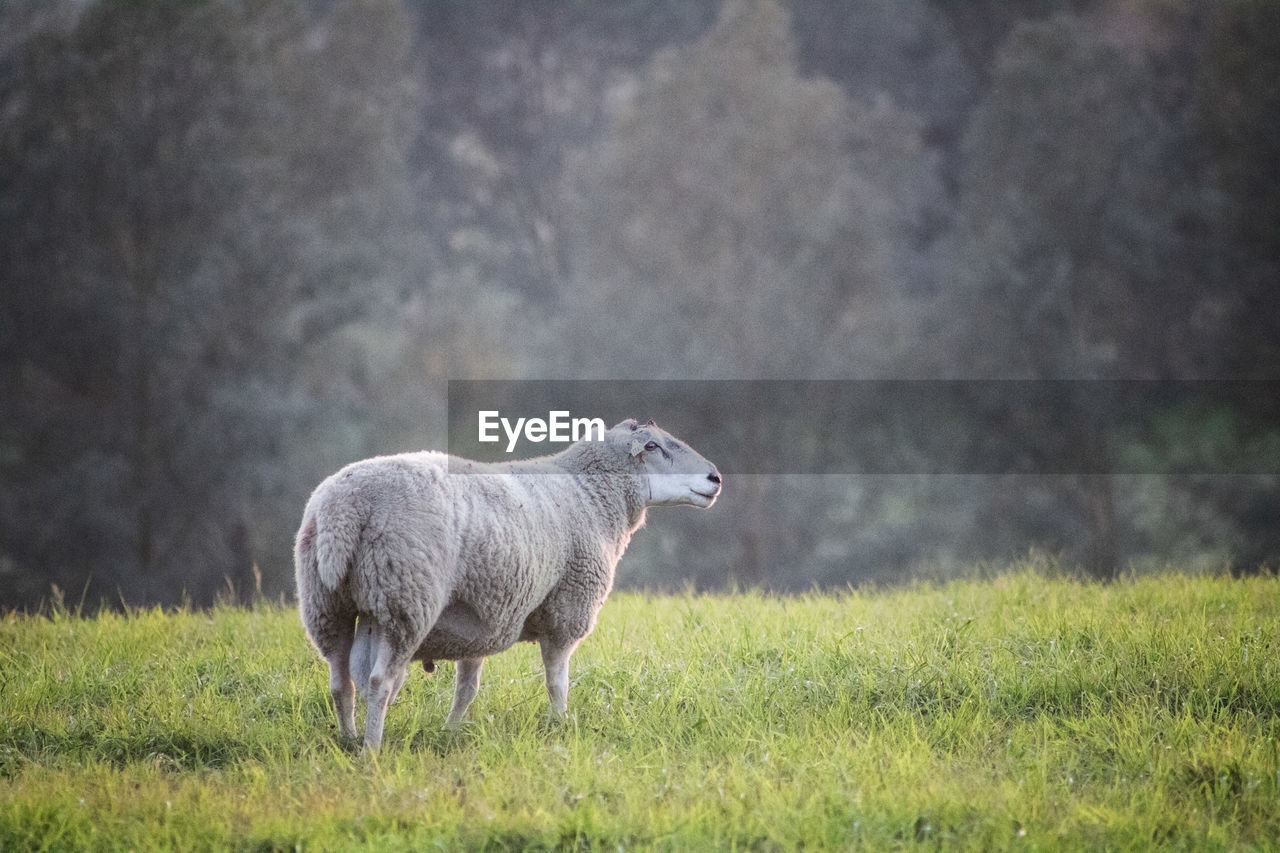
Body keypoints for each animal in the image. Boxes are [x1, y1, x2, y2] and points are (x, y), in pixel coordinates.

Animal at [293, 414, 727, 747]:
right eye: (653, 446)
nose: (715, 478)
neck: (591, 493)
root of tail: (343, 508)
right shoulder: (567, 608)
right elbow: (557, 682)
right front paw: (559, 725)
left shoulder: (484, 613)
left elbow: (467, 689)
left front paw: (451, 733)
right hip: (406, 600)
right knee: (379, 681)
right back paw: (372, 749)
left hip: (329, 605)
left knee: (342, 683)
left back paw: (349, 740)